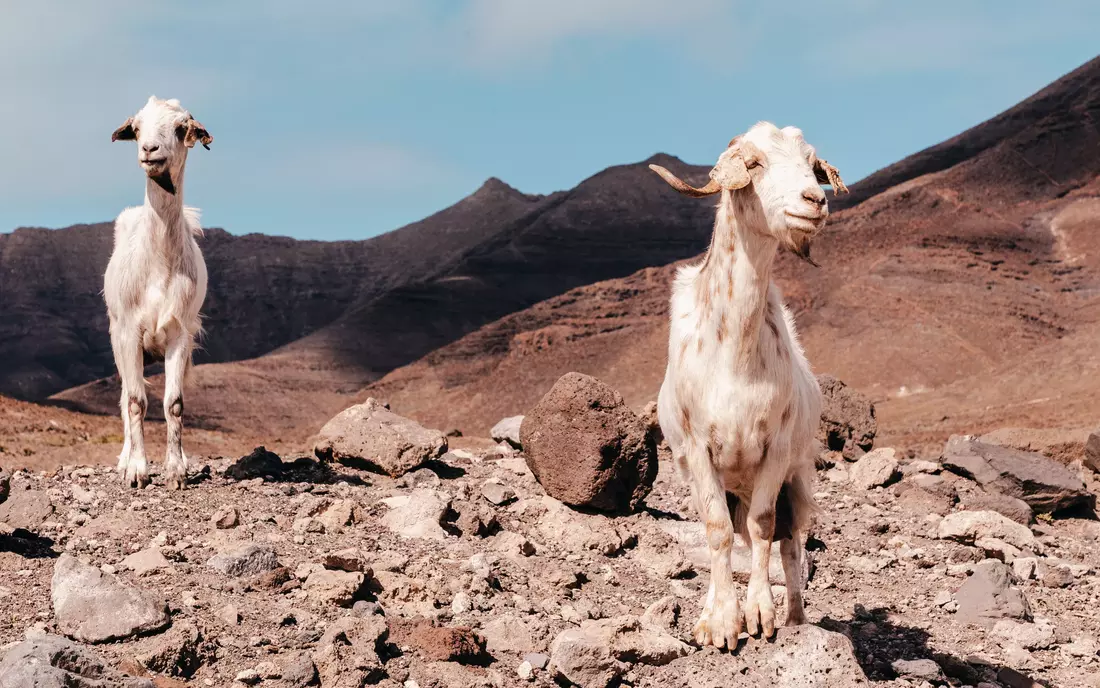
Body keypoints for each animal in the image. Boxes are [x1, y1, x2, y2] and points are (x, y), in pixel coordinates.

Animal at [105, 95, 212, 488]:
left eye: (181, 128)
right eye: (136, 128)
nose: (150, 150)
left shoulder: (180, 333)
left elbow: (174, 403)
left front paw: (177, 470)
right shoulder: (128, 332)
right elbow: (136, 401)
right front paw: (136, 470)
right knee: (125, 396)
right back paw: (124, 459)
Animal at [651, 122, 849, 642]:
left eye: (812, 164)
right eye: (754, 163)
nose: (813, 201)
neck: (735, 357)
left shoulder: (776, 449)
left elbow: (763, 527)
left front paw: (760, 613)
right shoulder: (698, 451)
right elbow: (717, 530)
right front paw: (721, 621)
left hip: (797, 477)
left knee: (790, 540)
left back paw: (796, 617)